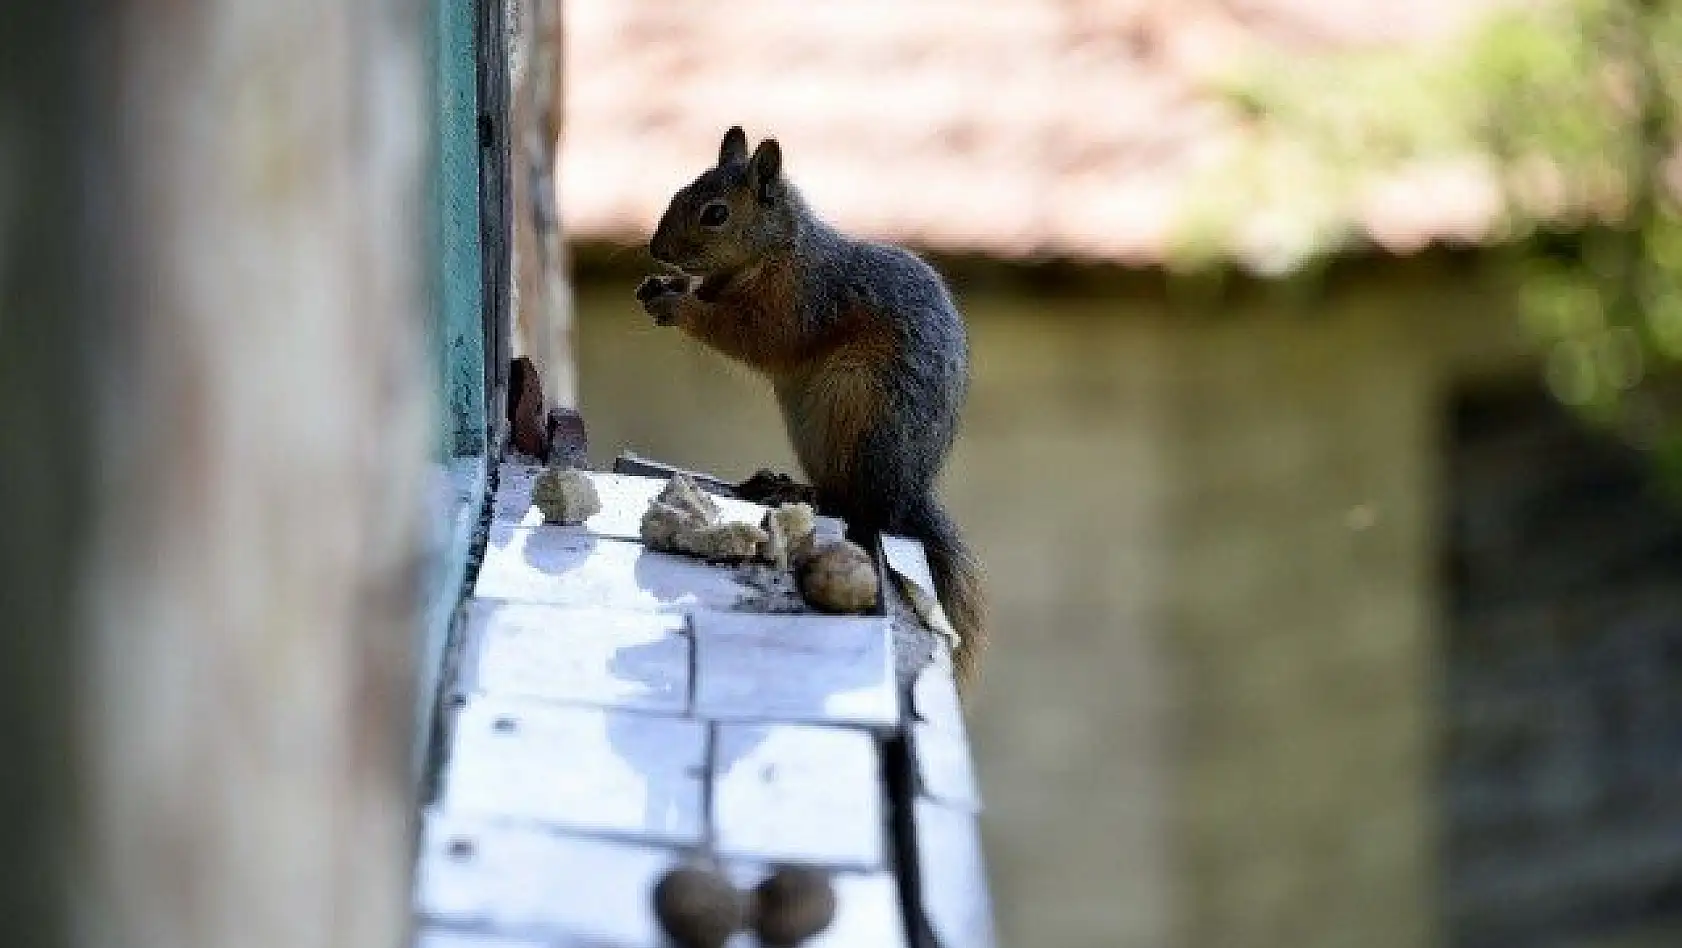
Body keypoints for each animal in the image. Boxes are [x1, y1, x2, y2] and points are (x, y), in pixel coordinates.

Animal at [639, 127, 982, 689]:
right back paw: (781, 485)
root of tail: (906, 497)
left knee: (855, 505)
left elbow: (749, 335)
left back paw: (805, 496)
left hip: (857, 409)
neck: (774, 253)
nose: (656, 250)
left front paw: (677, 304)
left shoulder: (797, 303)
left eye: (716, 213)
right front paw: (664, 286)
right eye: (679, 191)